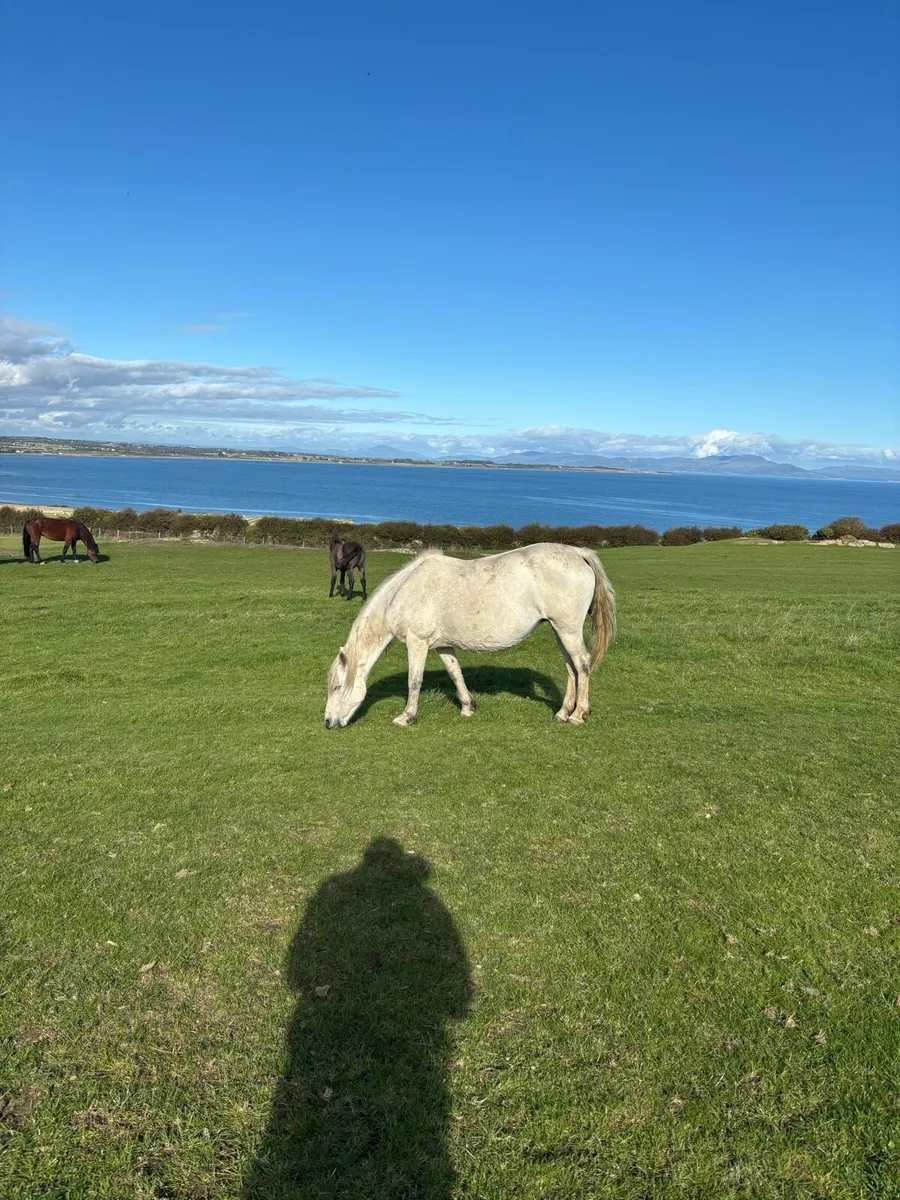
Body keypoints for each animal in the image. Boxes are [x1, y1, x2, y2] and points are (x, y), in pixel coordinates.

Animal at [325, 543, 615, 728]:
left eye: (337, 687)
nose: (328, 723)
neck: (406, 591)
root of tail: (579, 553)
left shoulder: (418, 643)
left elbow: (414, 681)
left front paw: (406, 717)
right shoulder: (441, 646)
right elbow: (456, 673)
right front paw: (467, 707)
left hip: (567, 630)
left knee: (582, 664)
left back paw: (578, 714)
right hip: (560, 630)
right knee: (571, 668)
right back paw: (563, 712)